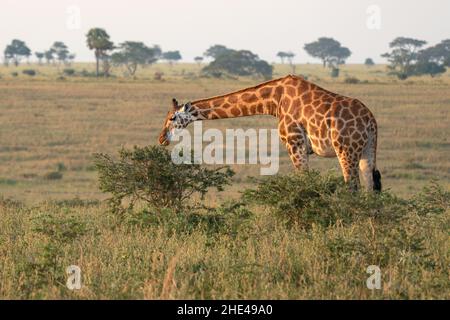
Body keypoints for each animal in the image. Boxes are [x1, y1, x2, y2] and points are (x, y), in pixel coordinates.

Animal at [160, 74, 382, 190]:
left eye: (172, 118)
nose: (161, 139)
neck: (275, 100)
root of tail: (371, 121)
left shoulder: (295, 143)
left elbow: (304, 180)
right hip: (367, 149)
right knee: (370, 186)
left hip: (346, 149)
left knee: (352, 185)